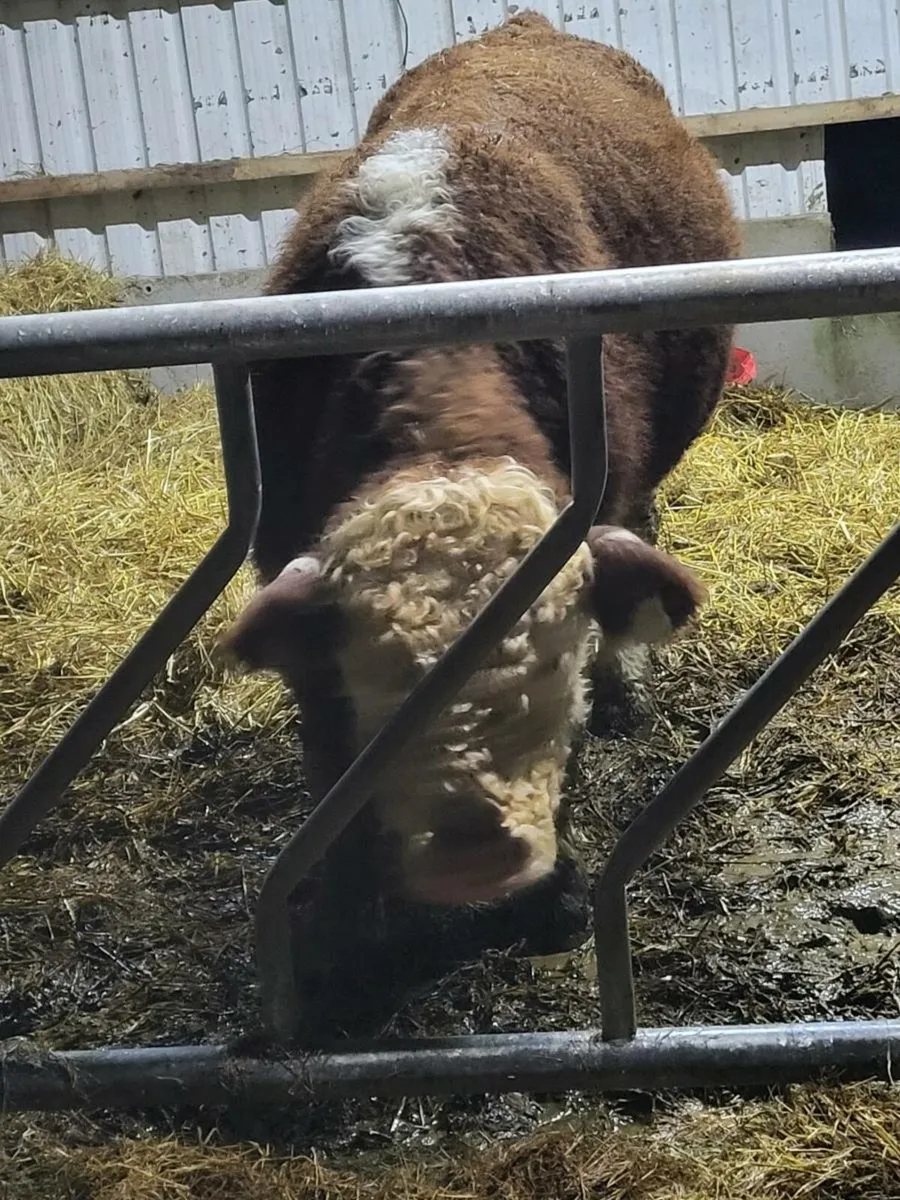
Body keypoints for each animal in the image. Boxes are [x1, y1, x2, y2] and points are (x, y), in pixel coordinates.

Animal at [223, 11, 740, 1035]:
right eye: (377, 688)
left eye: (555, 671)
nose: (476, 855)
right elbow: (329, 775)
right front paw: (344, 935)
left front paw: (559, 897)